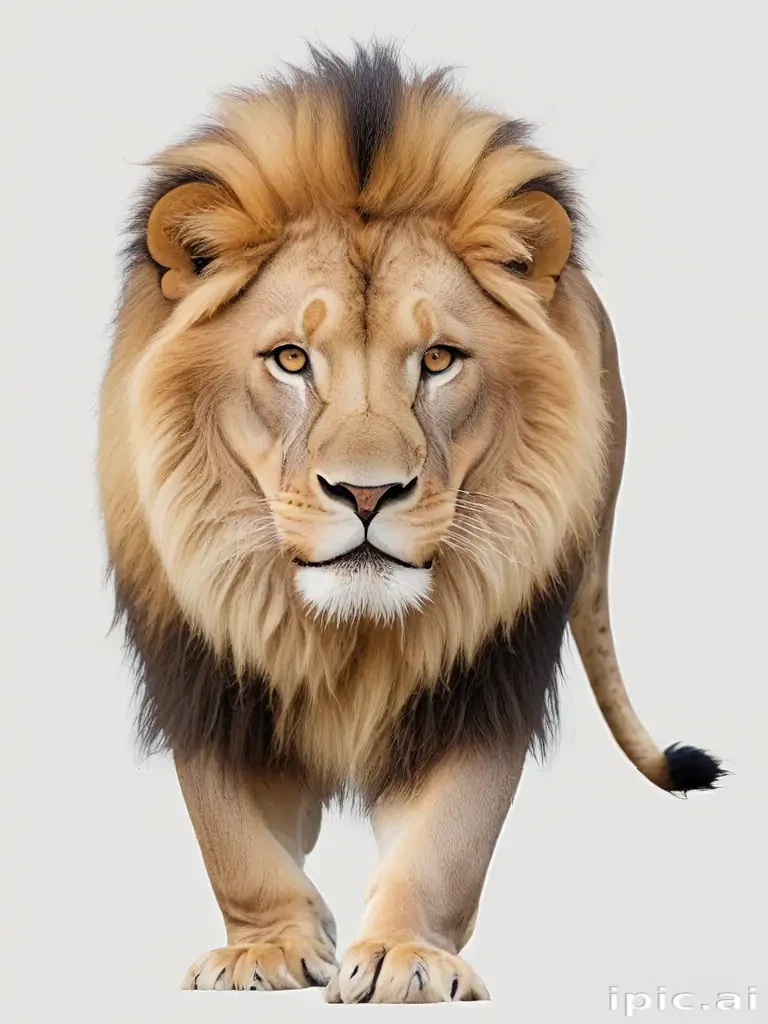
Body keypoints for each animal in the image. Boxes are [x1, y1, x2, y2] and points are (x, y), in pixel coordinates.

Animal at [98, 43, 724, 1003]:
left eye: (437, 359)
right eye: (291, 359)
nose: (366, 495)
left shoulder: (484, 677)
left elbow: (448, 842)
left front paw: (404, 957)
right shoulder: (204, 667)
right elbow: (231, 835)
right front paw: (266, 952)